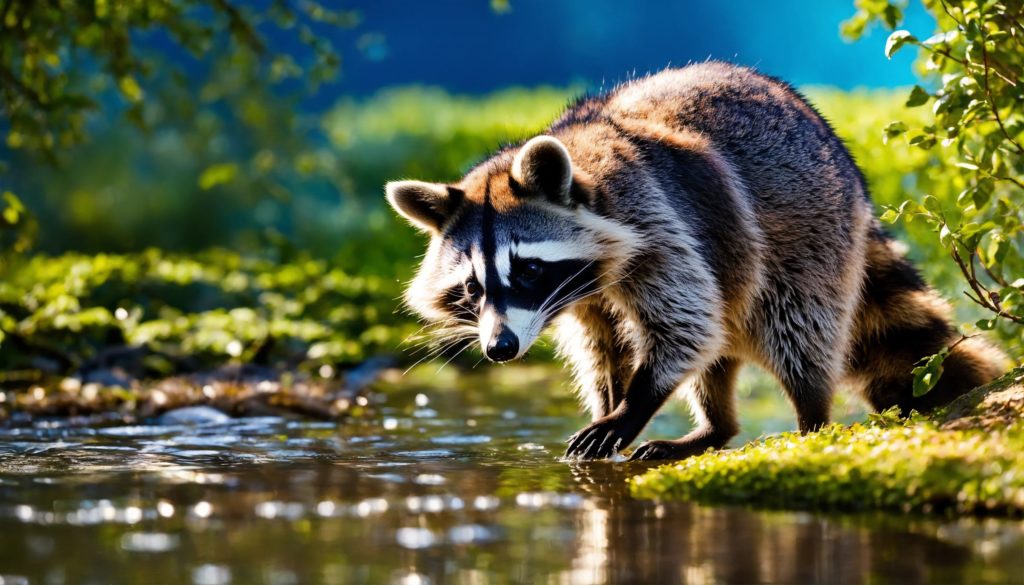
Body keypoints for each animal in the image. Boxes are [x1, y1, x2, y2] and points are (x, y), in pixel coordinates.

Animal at [382, 60, 999, 463]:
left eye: (528, 269)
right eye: (471, 288)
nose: (500, 348)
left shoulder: (656, 222)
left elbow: (684, 325)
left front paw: (633, 405)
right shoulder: (583, 297)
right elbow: (604, 346)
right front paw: (609, 401)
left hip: (809, 232)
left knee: (795, 327)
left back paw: (811, 420)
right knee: (722, 345)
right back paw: (716, 428)